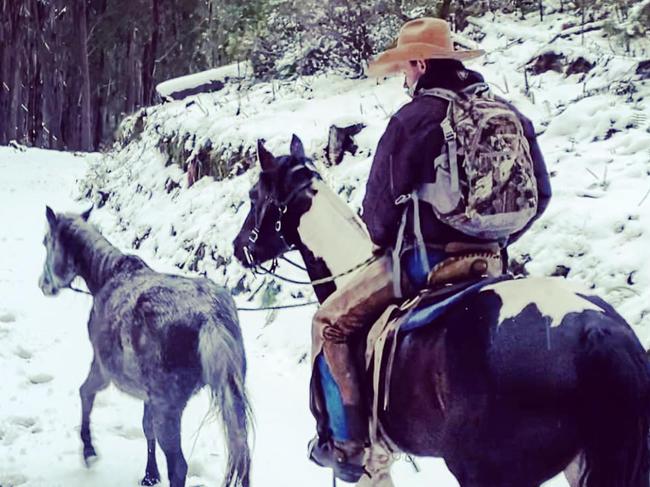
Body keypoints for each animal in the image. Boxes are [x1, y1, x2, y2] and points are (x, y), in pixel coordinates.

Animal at [37, 208, 251, 487]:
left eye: (45, 241)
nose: (43, 284)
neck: (108, 276)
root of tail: (210, 317)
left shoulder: (103, 369)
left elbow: (85, 393)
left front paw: (88, 450)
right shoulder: (148, 394)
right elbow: (146, 428)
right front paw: (151, 474)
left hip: (168, 409)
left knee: (179, 466)